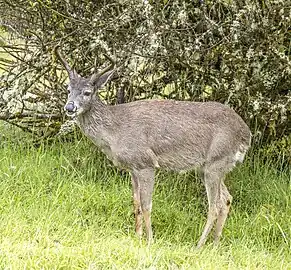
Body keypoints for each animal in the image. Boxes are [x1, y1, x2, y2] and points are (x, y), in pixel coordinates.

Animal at [56, 46, 252, 249]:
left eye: (87, 92)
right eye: (68, 89)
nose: (69, 107)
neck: (115, 130)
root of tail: (246, 134)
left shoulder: (146, 163)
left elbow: (146, 205)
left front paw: (149, 240)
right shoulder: (132, 168)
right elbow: (135, 203)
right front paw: (137, 236)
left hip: (216, 161)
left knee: (215, 205)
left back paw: (199, 245)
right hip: (209, 166)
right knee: (227, 199)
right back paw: (214, 244)